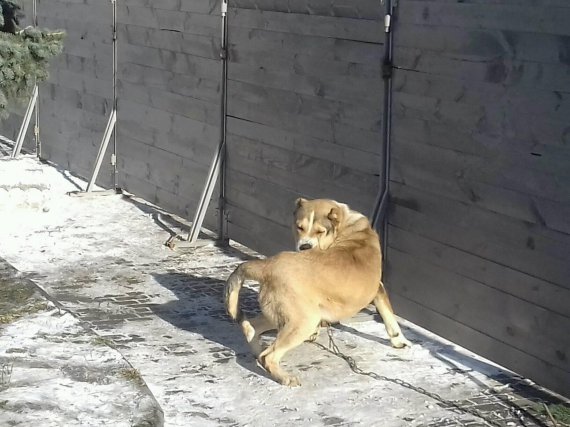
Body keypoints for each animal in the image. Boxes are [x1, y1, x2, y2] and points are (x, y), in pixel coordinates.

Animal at [225, 199, 408, 386]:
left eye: (320, 231)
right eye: (299, 227)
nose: (305, 246)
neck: (347, 226)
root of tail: (267, 266)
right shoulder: (378, 288)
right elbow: (388, 315)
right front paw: (399, 340)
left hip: (284, 315)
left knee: (252, 327)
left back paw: (257, 351)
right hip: (303, 320)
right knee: (268, 356)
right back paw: (284, 377)